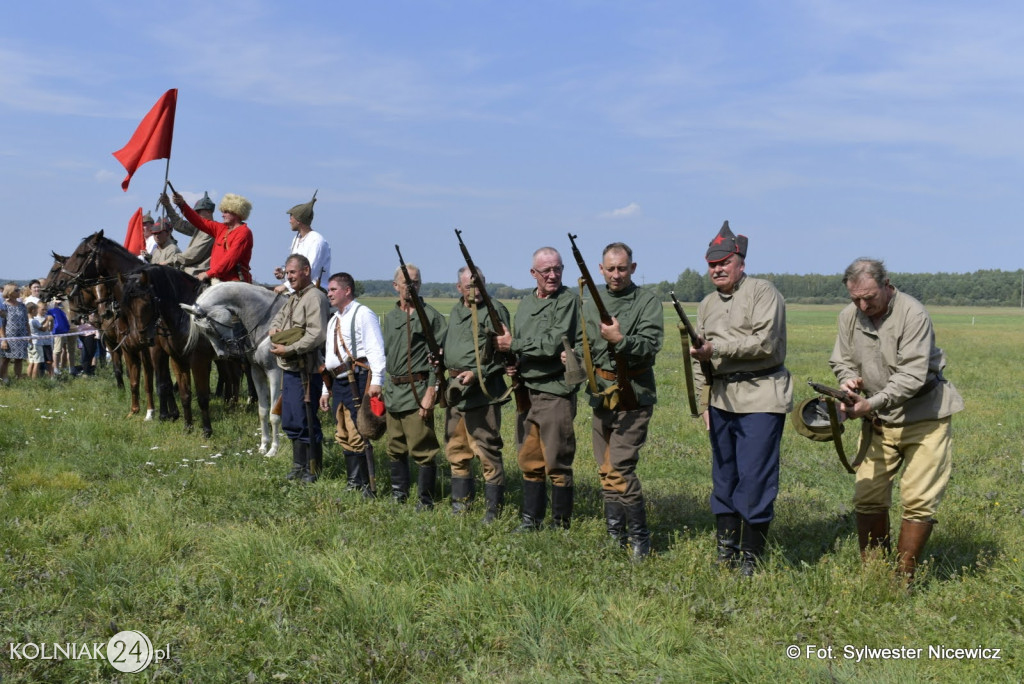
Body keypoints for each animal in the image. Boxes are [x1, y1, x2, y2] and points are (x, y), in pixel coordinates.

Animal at [119, 264, 216, 436]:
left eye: (147, 302)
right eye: (127, 307)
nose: (142, 337)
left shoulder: (198, 360)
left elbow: (201, 396)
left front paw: (206, 431)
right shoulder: (177, 359)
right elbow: (183, 393)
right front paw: (186, 427)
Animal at [182, 280, 286, 456]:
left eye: (209, 329)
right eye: (204, 332)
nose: (222, 354)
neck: (268, 322)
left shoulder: (274, 373)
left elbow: (274, 414)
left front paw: (273, 450)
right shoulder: (257, 372)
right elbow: (263, 411)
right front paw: (263, 446)